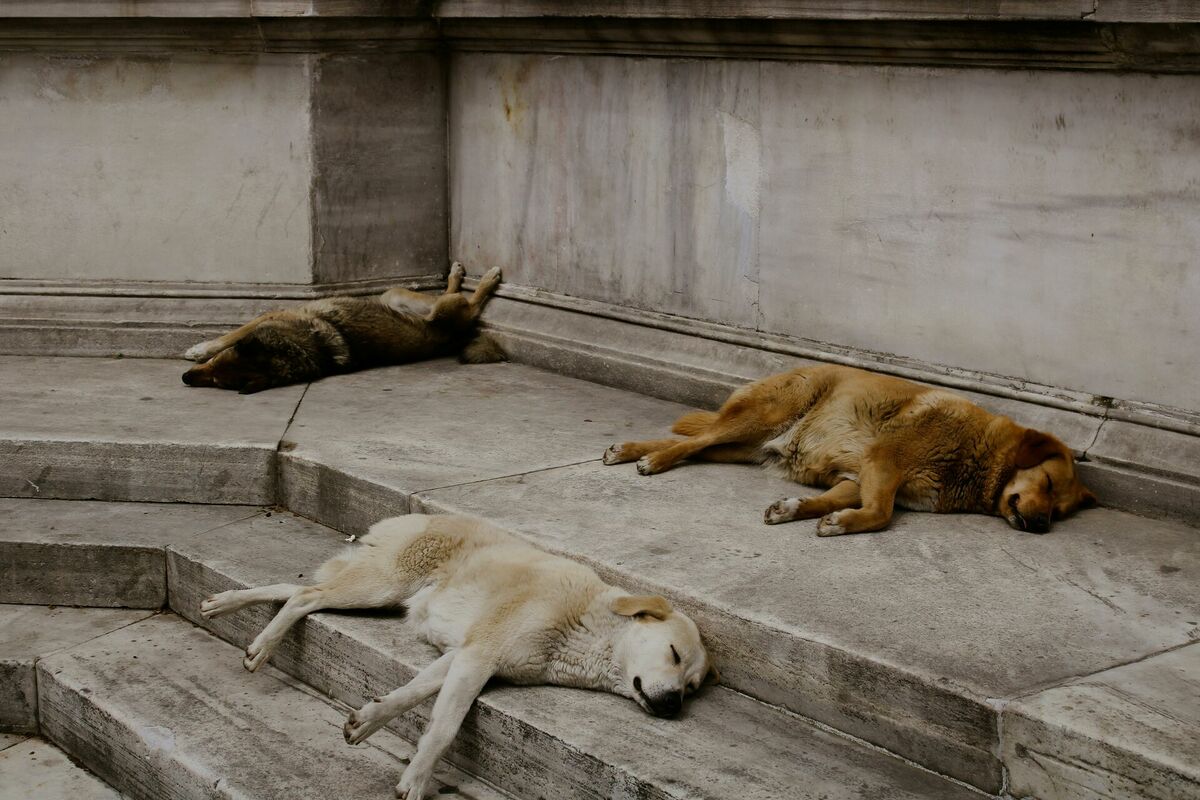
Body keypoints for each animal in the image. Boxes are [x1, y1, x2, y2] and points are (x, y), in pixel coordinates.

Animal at [199, 513, 710, 800]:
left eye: (691, 687)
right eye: (673, 654)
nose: (672, 707)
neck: (584, 623)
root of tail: (411, 515)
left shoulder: (465, 656)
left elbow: (410, 695)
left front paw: (367, 720)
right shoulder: (479, 656)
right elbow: (444, 727)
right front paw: (417, 779)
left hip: (376, 593)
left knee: (296, 590)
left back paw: (224, 604)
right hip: (382, 585)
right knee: (305, 597)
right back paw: (263, 644)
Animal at [604, 367, 1094, 534]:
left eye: (1060, 509)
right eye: (1047, 482)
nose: (1042, 526)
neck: (978, 455)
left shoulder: (857, 477)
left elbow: (832, 501)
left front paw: (797, 509)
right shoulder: (884, 462)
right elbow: (880, 514)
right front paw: (845, 523)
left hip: (743, 447)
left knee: (694, 446)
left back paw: (638, 449)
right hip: (763, 415)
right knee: (693, 441)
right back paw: (646, 457)